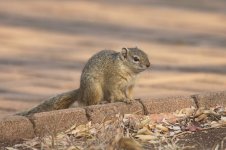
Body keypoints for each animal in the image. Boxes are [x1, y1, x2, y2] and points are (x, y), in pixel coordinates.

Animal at [17, 47, 150, 115]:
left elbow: (130, 93)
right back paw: (100, 103)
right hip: (95, 88)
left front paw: (132, 98)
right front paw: (124, 100)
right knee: (90, 103)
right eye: (136, 59)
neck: (129, 71)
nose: (148, 65)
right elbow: (117, 92)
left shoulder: (130, 86)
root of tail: (81, 91)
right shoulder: (114, 81)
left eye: (146, 54)